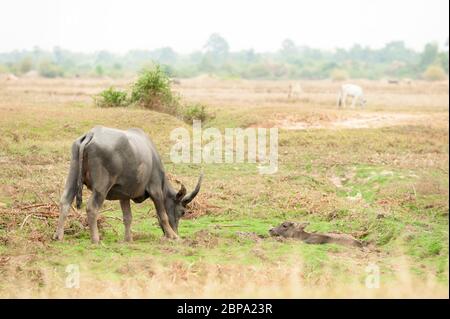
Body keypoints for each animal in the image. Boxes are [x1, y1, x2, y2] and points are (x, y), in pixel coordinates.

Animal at [53, 126, 203, 244]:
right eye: (182, 212)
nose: (176, 232)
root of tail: (91, 134)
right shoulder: (156, 190)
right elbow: (163, 215)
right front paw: (173, 236)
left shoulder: (123, 196)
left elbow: (127, 217)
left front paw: (128, 239)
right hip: (101, 187)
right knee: (92, 208)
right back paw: (96, 239)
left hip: (72, 177)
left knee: (65, 201)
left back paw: (59, 236)